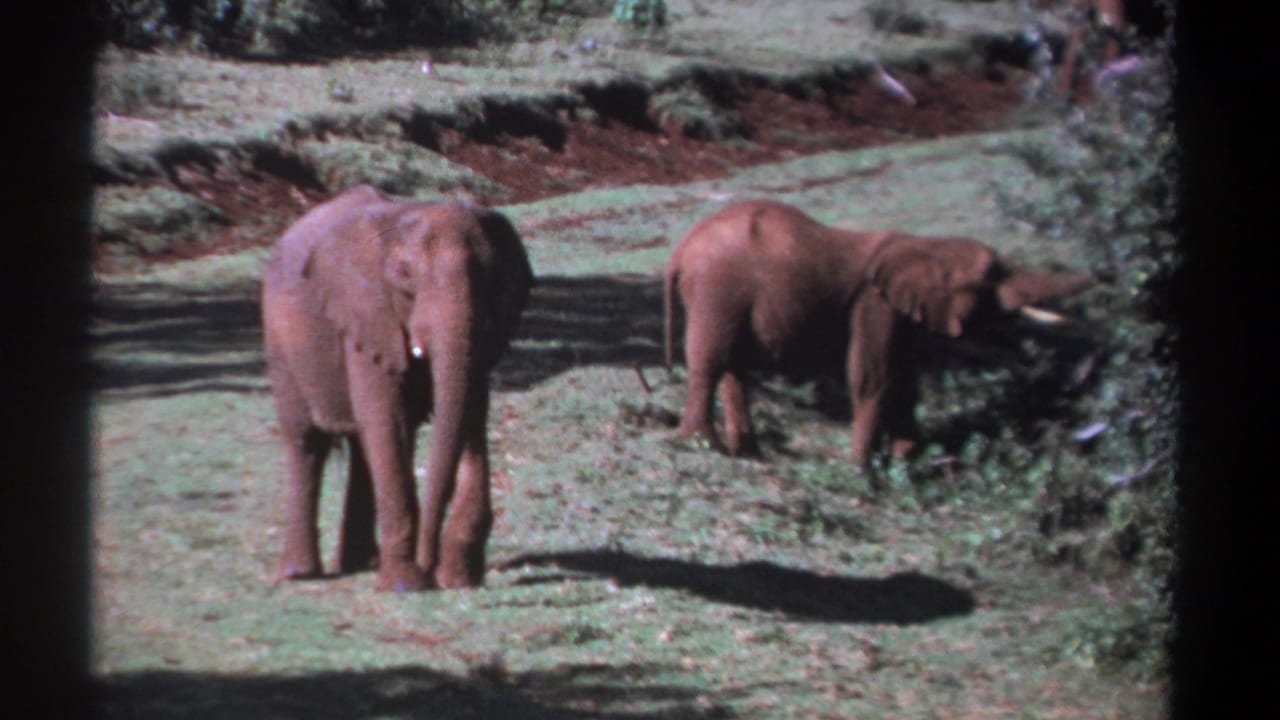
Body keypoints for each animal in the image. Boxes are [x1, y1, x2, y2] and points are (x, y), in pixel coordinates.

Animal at [261, 184, 532, 592]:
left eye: (491, 276)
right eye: (405, 277)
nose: (430, 564)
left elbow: (471, 410)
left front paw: (458, 578)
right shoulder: (367, 317)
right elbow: (388, 420)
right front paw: (406, 585)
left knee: (361, 447)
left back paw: (361, 563)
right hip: (281, 347)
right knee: (307, 442)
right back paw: (300, 574)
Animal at [663, 200, 1093, 467]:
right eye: (991, 276)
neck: (923, 245)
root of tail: (682, 249)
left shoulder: (901, 314)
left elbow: (905, 380)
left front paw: (907, 461)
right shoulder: (875, 304)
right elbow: (875, 376)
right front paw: (862, 469)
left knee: (733, 369)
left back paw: (749, 454)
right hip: (718, 288)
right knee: (711, 362)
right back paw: (704, 445)